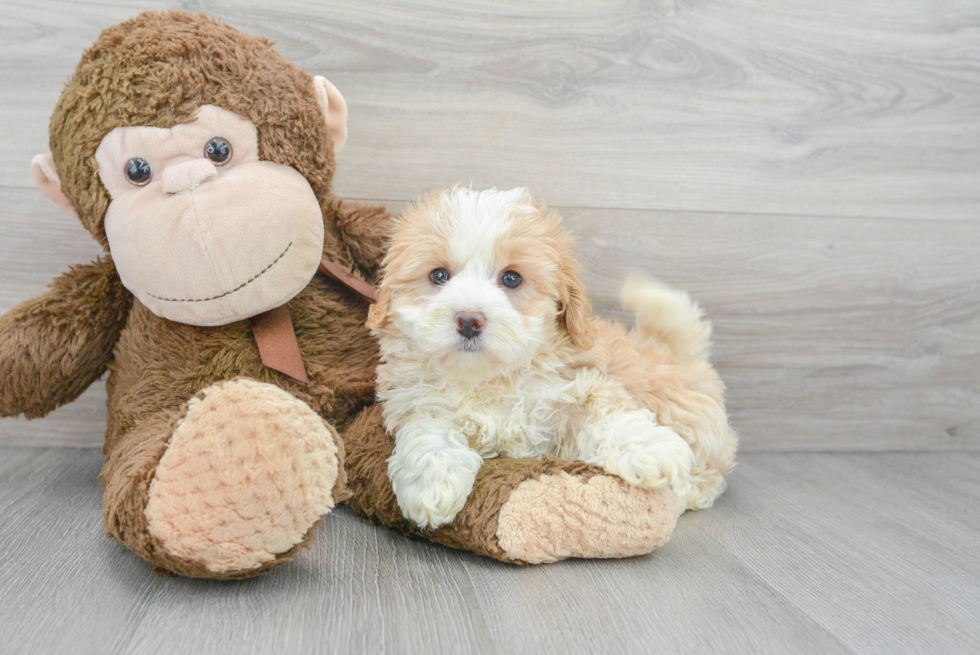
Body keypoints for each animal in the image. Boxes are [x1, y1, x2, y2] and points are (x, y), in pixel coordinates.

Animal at [368, 187, 736, 532]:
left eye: (511, 278)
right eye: (439, 275)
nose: (469, 320)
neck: (492, 378)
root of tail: (670, 349)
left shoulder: (578, 384)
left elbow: (608, 413)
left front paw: (652, 449)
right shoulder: (417, 398)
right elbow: (430, 432)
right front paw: (432, 485)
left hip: (693, 421)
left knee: (711, 472)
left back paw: (685, 492)